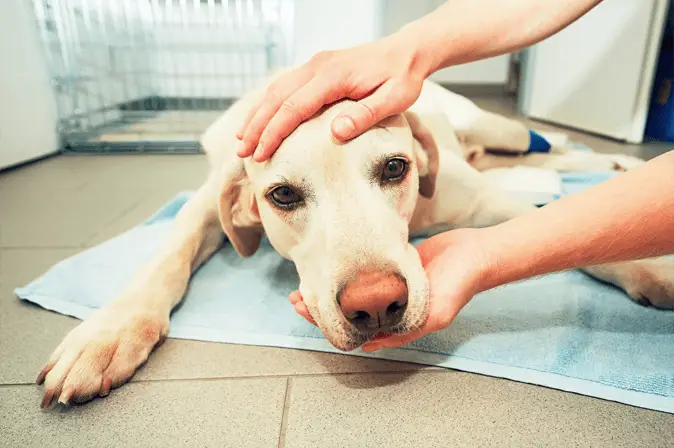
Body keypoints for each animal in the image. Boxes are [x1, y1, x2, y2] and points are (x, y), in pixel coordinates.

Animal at [35, 72, 672, 406]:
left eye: (394, 168)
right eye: (282, 196)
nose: (377, 305)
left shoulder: (488, 203)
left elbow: (572, 226)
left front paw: (652, 267)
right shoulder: (207, 199)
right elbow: (168, 252)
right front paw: (107, 335)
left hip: (497, 128)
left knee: (544, 146)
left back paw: (609, 158)